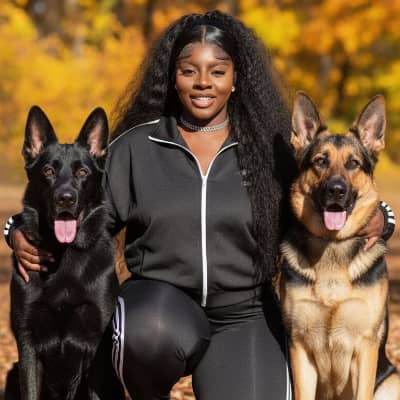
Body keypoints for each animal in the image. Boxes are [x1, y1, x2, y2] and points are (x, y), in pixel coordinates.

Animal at [6, 106, 121, 400]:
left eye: (82, 172)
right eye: (48, 170)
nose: (65, 198)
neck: (64, 255)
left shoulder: (97, 347)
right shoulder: (27, 344)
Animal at [280, 92, 400, 400]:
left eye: (353, 163)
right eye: (321, 161)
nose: (336, 190)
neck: (332, 245)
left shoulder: (366, 348)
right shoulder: (300, 349)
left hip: (392, 381)